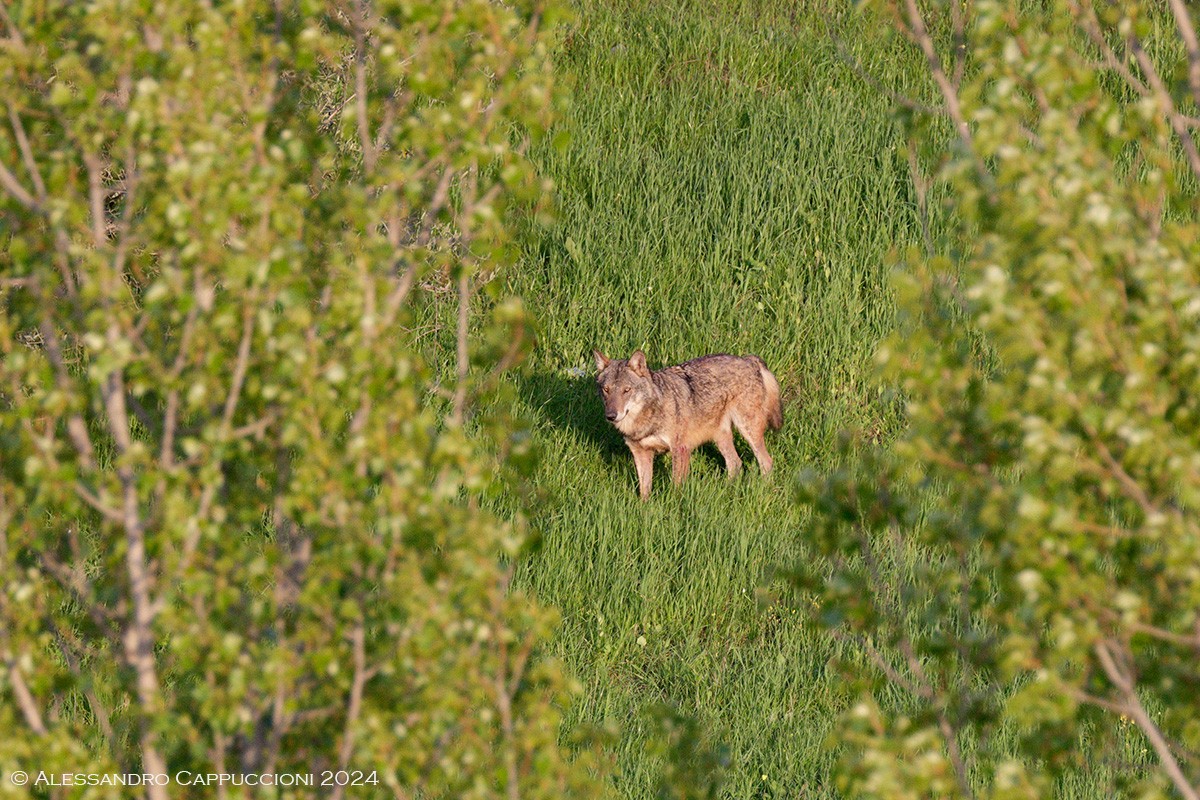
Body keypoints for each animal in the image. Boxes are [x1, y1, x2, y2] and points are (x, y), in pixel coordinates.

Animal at [592, 350, 782, 501]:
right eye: (606, 390)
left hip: (748, 431)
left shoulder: (681, 449)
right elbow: (644, 490)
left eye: (626, 390)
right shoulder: (640, 453)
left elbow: (676, 487)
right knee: (735, 464)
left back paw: (764, 490)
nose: (611, 416)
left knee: (766, 462)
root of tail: (749, 359)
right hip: (721, 437)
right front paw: (643, 510)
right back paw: (726, 492)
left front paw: (675, 509)